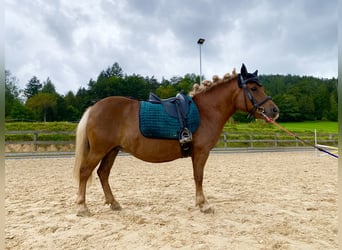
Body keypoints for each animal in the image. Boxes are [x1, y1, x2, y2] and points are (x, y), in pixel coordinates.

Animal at [74, 64, 278, 215]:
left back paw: (114, 203)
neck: (206, 111)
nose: (274, 110)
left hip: (112, 150)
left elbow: (197, 176)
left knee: (103, 173)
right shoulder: (201, 152)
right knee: (85, 171)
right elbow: (199, 176)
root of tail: (94, 108)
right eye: (253, 88)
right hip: (100, 150)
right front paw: (204, 204)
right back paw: (82, 207)